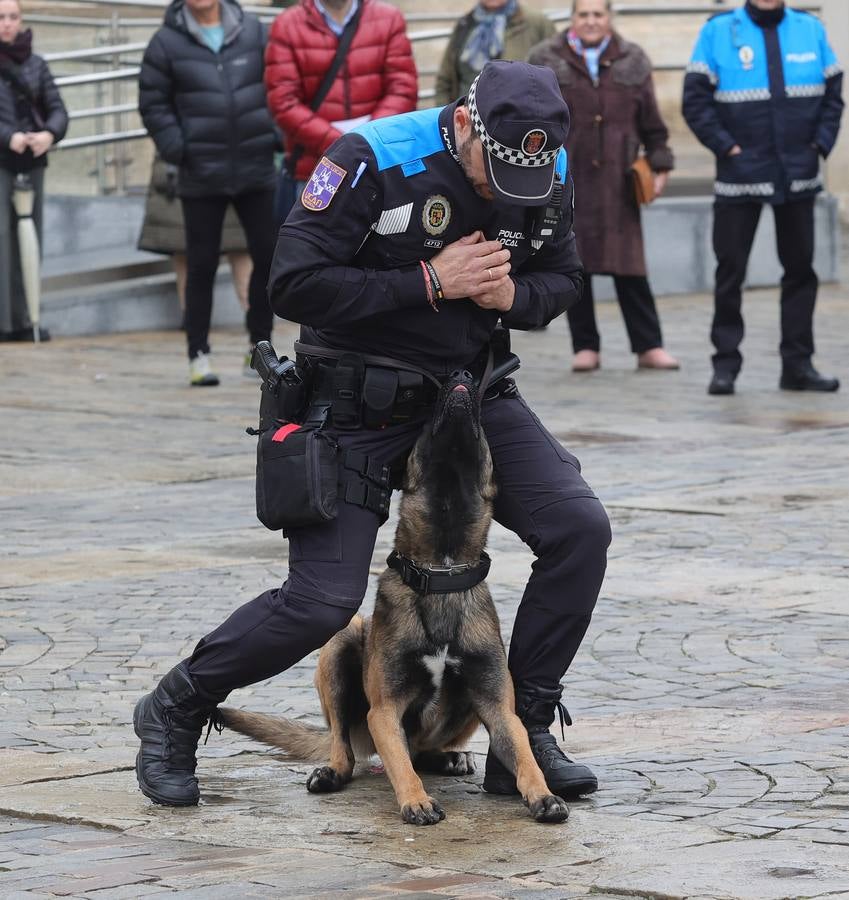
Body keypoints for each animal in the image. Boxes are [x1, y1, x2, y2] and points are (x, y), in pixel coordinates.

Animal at [224, 370, 568, 824]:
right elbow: (400, 764)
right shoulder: (384, 711)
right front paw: (416, 800)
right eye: (422, 433)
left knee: (422, 752)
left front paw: (543, 794)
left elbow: (525, 755)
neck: (441, 571)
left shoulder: (499, 708)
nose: (461, 374)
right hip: (342, 640)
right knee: (347, 747)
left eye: (481, 436)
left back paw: (450, 757)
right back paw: (332, 771)